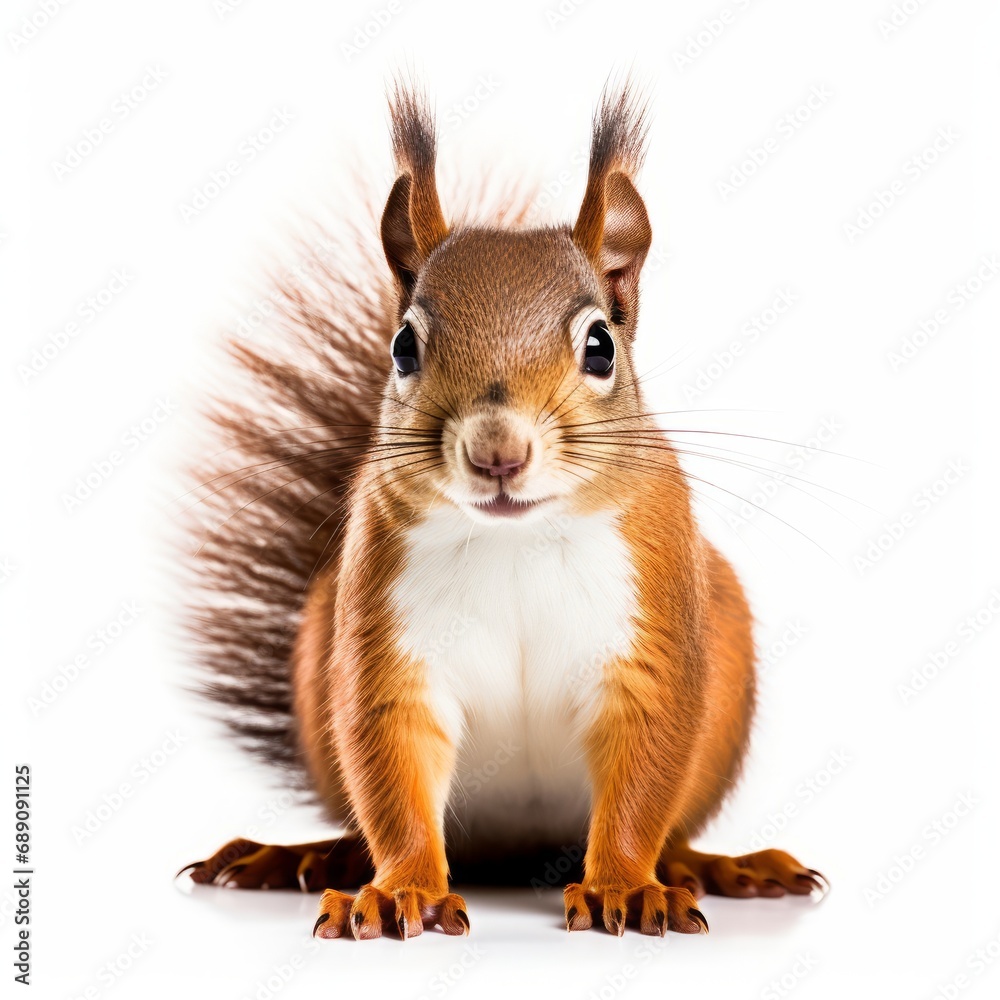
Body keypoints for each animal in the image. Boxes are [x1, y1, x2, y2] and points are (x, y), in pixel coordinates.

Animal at [177, 81, 826, 940]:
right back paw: (309, 858)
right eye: (403, 348)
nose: (497, 453)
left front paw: (626, 887)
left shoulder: (653, 634)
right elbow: (392, 774)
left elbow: (643, 776)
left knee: (675, 829)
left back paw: (713, 868)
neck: (517, 540)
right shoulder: (386, 646)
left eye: (600, 346)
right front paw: (403, 892)